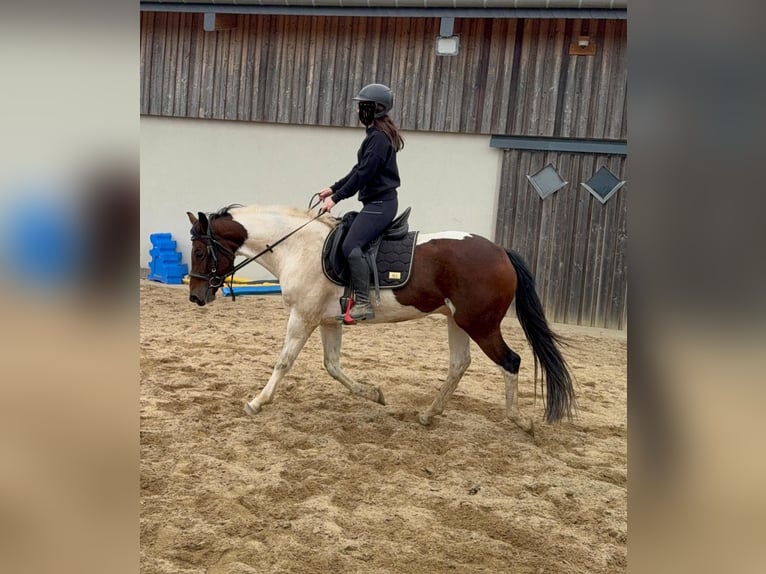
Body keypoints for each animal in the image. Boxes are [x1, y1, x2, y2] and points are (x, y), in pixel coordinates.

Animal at [186, 204, 575, 432]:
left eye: (201, 251)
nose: (196, 296)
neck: (297, 247)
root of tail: (501, 252)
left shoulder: (303, 317)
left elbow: (284, 362)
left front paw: (256, 402)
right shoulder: (327, 321)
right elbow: (332, 365)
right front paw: (373, 394)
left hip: (480, 324)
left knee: (511, 361)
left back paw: (519, 420)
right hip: (457, 321)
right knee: (459, 364)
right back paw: (429, 414)